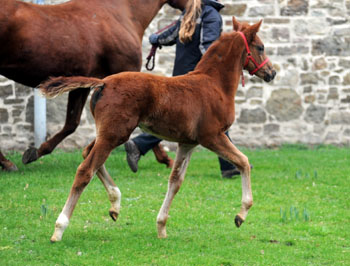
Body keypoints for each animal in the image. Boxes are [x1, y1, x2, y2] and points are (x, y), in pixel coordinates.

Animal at [40, 16, 276, 241]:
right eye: (261, 47)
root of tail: (103, 82)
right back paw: (59, 229)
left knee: (88, 153)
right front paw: (240, 215)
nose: (271, 72)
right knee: (85, 170)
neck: (214, 84)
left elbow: (175, 180)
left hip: (109, 132)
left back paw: (115, 203)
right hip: (114, 134)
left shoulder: (187, 143)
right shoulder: (212, 136)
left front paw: (161, 227)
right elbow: (243, 161)